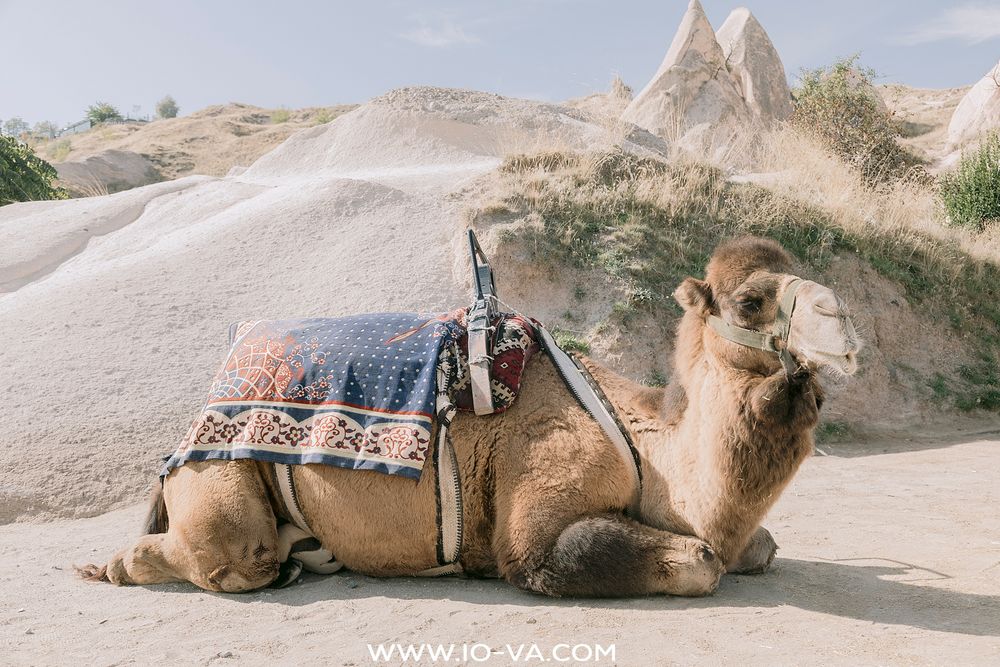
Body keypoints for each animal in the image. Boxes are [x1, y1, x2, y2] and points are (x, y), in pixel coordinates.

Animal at [79, 236, 860, 597]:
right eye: (750, 300)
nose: (844, 319)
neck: (653, 454)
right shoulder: (538, 518)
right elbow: (700, 559)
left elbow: (759, 546)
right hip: (220, 475)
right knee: (233, 556)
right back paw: (113, 564)